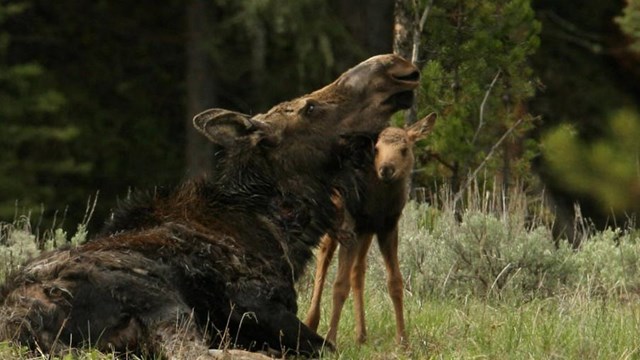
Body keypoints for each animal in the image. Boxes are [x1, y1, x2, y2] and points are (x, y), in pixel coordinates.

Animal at [0, 54, 420, 360]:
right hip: (159, 296)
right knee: (196, 352)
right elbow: (327, 347)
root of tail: (22, 321)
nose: (396, 68)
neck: (283, 229)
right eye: (310, 107)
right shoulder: (254, 306)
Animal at [304, 114, 436, 344]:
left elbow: (395, 282)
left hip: (365, 233)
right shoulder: (350, 228)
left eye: (404, 149)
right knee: (322, 261)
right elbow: (339, 285)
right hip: (333, 223)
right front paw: (331, 340)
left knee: (358, 272)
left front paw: (403, 340)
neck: (379, 204)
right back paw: (311, 321)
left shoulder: (387, 228)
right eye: (377, 149)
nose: (386, 169)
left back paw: (361, 334)